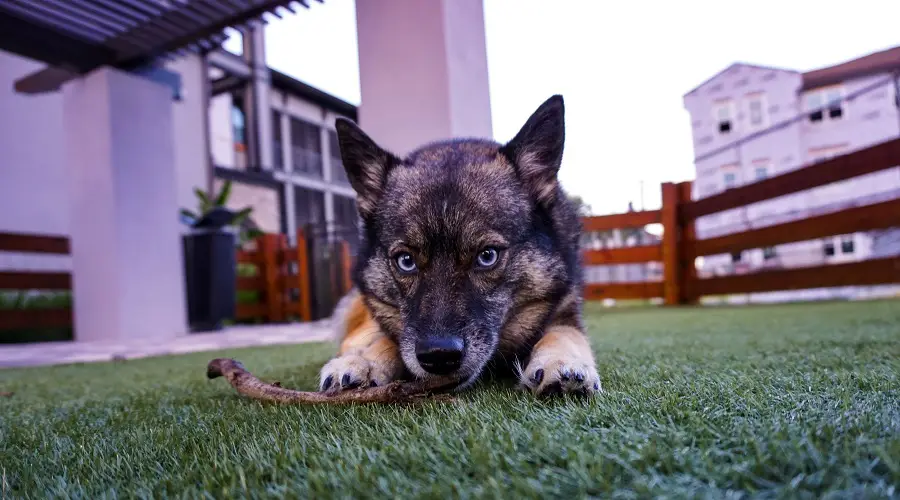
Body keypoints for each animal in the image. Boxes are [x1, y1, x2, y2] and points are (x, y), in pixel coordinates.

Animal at [316, 95, 596, 396]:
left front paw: (562, 361)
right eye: (406, 261)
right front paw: (364, 361)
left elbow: (564, 334)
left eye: (487, 256)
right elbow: (386, 339)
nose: (439, 356)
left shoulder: (564, 311)